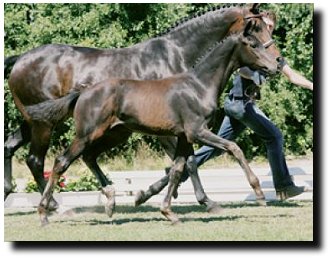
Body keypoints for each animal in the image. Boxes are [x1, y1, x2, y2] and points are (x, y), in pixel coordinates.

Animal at [5, 4, 280, 211]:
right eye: (255, 28)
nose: (277, 62)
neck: (177, 54)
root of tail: (20, 59)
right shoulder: (171, 129)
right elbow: (189, 162)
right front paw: (203, 200)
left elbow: (183, 163)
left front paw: (156, 195)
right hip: (46, 124)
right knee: (36, 160)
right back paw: (53, 204)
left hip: (36, 120)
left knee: (12, 146)